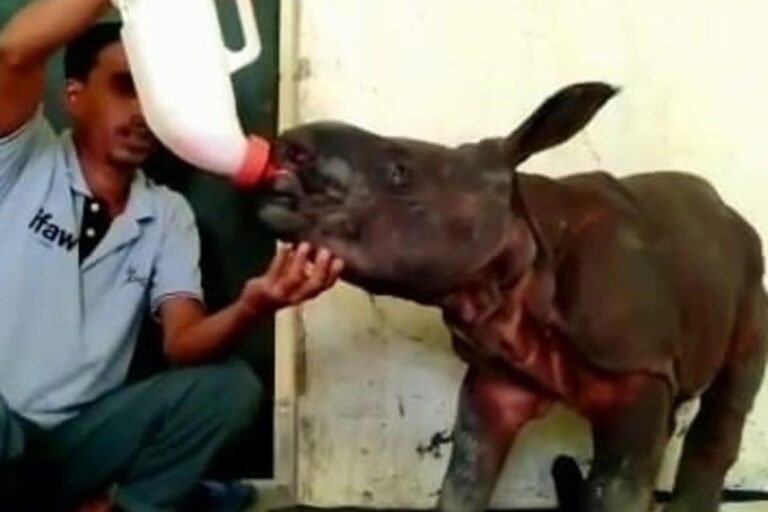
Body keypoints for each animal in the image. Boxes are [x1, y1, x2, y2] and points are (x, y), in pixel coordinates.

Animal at [255, 84, 764, 512]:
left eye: (400, 173)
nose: (289, 148)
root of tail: (728, 213)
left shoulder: (636, 366)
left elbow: (615, 488)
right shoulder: (498, 374)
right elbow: (467, 473)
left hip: (752, 267)